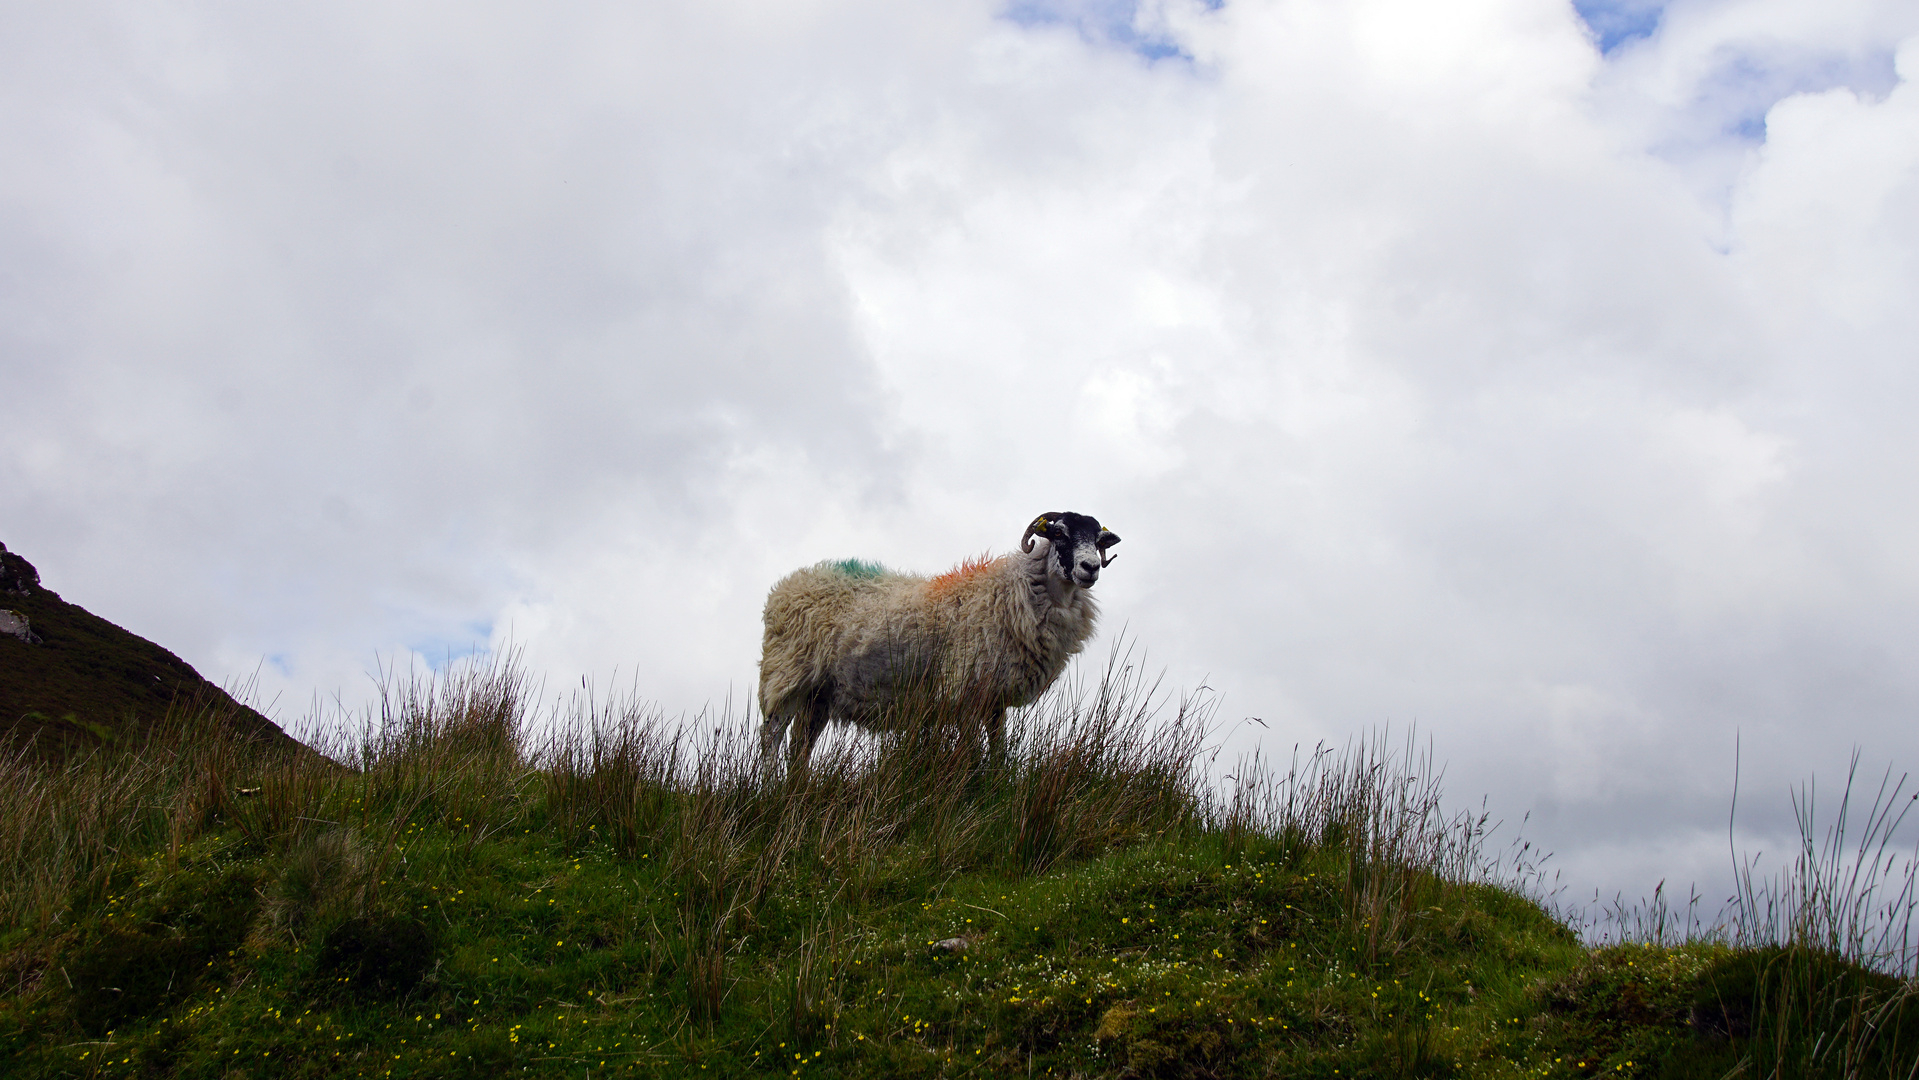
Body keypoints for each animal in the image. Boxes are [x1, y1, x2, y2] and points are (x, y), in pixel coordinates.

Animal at [759, 514, 1120, 767]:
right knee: (771, 738)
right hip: (785, 675)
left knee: (800, 747)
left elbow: (998, 748)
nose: (1090, 567)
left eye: (1098, 539)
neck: (1008, 592)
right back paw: (770, 792)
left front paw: (998, 783)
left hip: (818, 694)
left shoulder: (994, 697)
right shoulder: (964, 687)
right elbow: (970, 750)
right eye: (1059, 533)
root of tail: (788, 585)